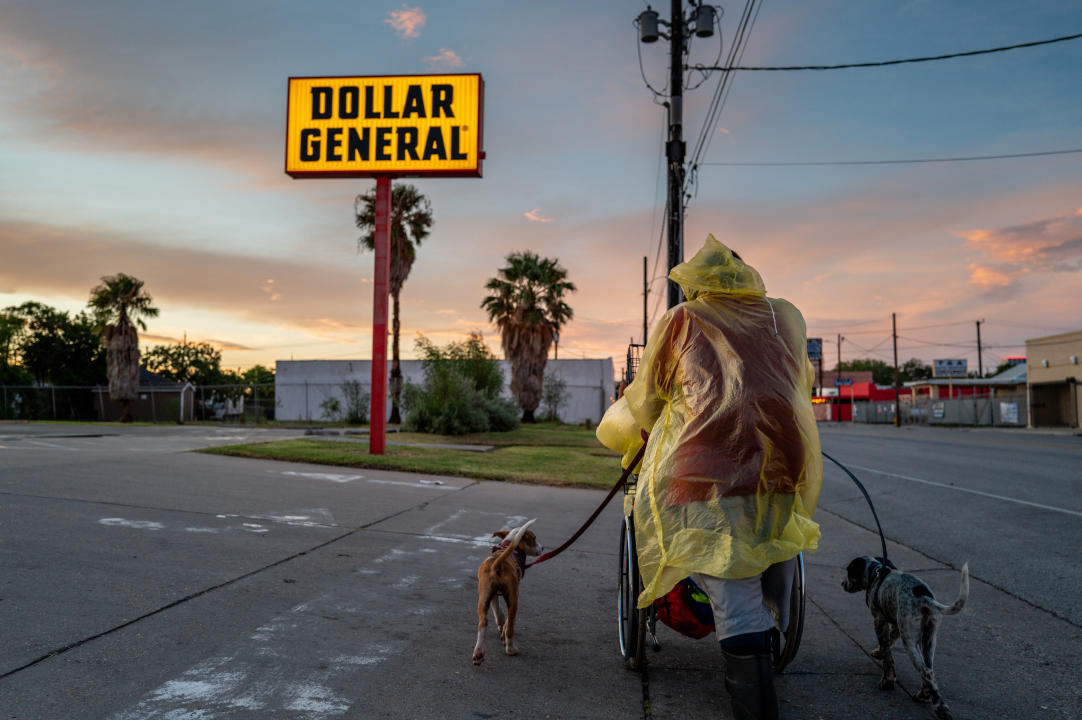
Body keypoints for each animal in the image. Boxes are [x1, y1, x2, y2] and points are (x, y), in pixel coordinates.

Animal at [473, 517, 541, 662]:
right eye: (534, 538)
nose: (542, 548)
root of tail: (497, 564)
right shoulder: (515, 593)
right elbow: (508, 621)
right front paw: (503, 631)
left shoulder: (493, 596)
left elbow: (498, 612)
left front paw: (500, 623)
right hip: (513, 599)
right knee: (510, 627)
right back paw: (511, 649)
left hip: (484, 595)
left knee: (483, 622)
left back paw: (479, 653)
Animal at [839, 554, 969, 718]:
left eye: (849, 572)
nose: (842, 583)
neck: (876, 572)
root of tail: (923, 597)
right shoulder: (896, 625)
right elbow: (889, 643)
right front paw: (879, 654)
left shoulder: (879, 622)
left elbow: (887, 653)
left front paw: (887, 681)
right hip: (929, 639)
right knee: (929, 671)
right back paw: (924, 696)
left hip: (910, 640)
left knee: (926, 671)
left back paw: (941, 709)